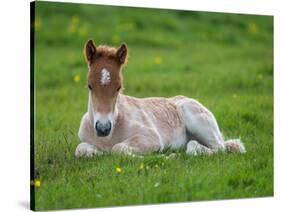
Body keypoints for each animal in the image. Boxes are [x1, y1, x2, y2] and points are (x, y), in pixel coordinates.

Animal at [75, 39, 245, 157]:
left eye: (119, 87)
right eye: (90, 85)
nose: (103, 128)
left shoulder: (151, 138)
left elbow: (118, 148)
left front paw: (162, 157)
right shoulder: (85, 141)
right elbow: (80, 150)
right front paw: (98, 153)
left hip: (198, 121)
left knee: (218, 148)